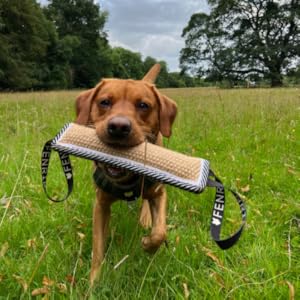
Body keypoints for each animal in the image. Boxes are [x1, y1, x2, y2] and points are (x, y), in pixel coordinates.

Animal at [75, 63, 177, 284]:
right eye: (104, 102)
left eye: (144, 105)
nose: (118, 127)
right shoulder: (101, 204)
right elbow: (98, 247)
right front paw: (94, 281)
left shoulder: (159, 193)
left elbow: (160, 231)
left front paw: (149, 244)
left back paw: (145, 218)